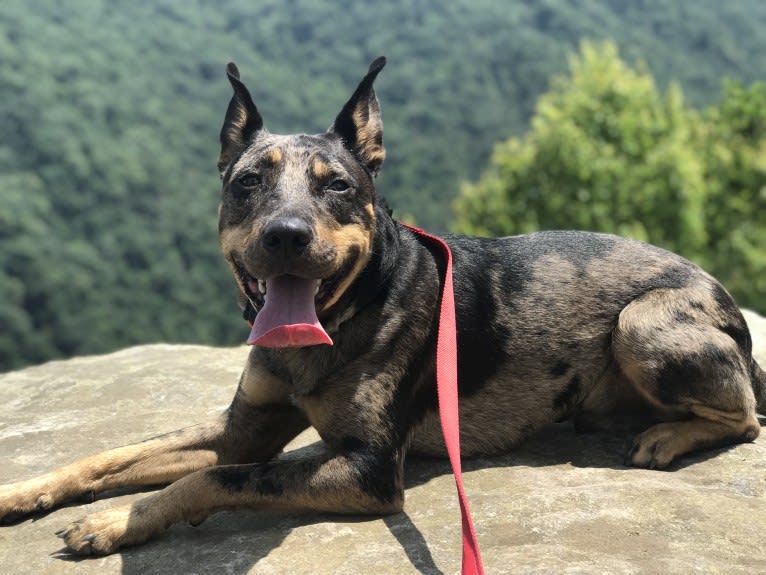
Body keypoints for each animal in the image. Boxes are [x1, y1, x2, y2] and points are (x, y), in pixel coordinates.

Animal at [0, 56, 764, 556]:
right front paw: (27, 491)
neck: (344, 315)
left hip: (644, 323)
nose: (286, 235)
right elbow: (114, 455)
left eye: (337, 185)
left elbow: (219, 474)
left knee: (746, 417)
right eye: (247, 183)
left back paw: (669, 436)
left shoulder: (365, 471)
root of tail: (725, 303)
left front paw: (119, 522)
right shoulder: (244, 424)